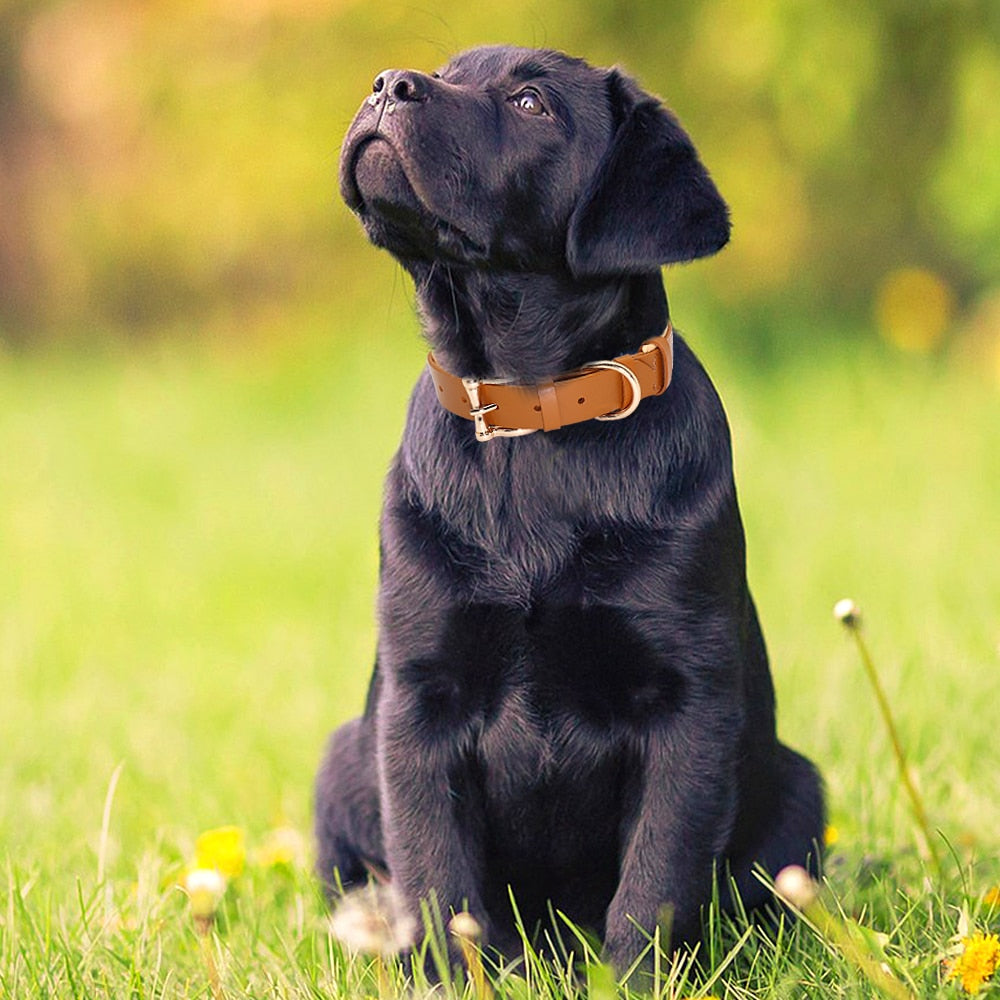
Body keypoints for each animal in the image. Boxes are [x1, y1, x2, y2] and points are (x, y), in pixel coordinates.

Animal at [316, 45, 824, 968]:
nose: (387, 85)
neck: (531, 418)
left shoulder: (688, 704)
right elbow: (437, 879)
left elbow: (655, 886)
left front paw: (636, 979)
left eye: (530, 103)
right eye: (445, 69)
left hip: (801, 786)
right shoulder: (419, 701)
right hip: (342, 761)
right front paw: (457, 978)